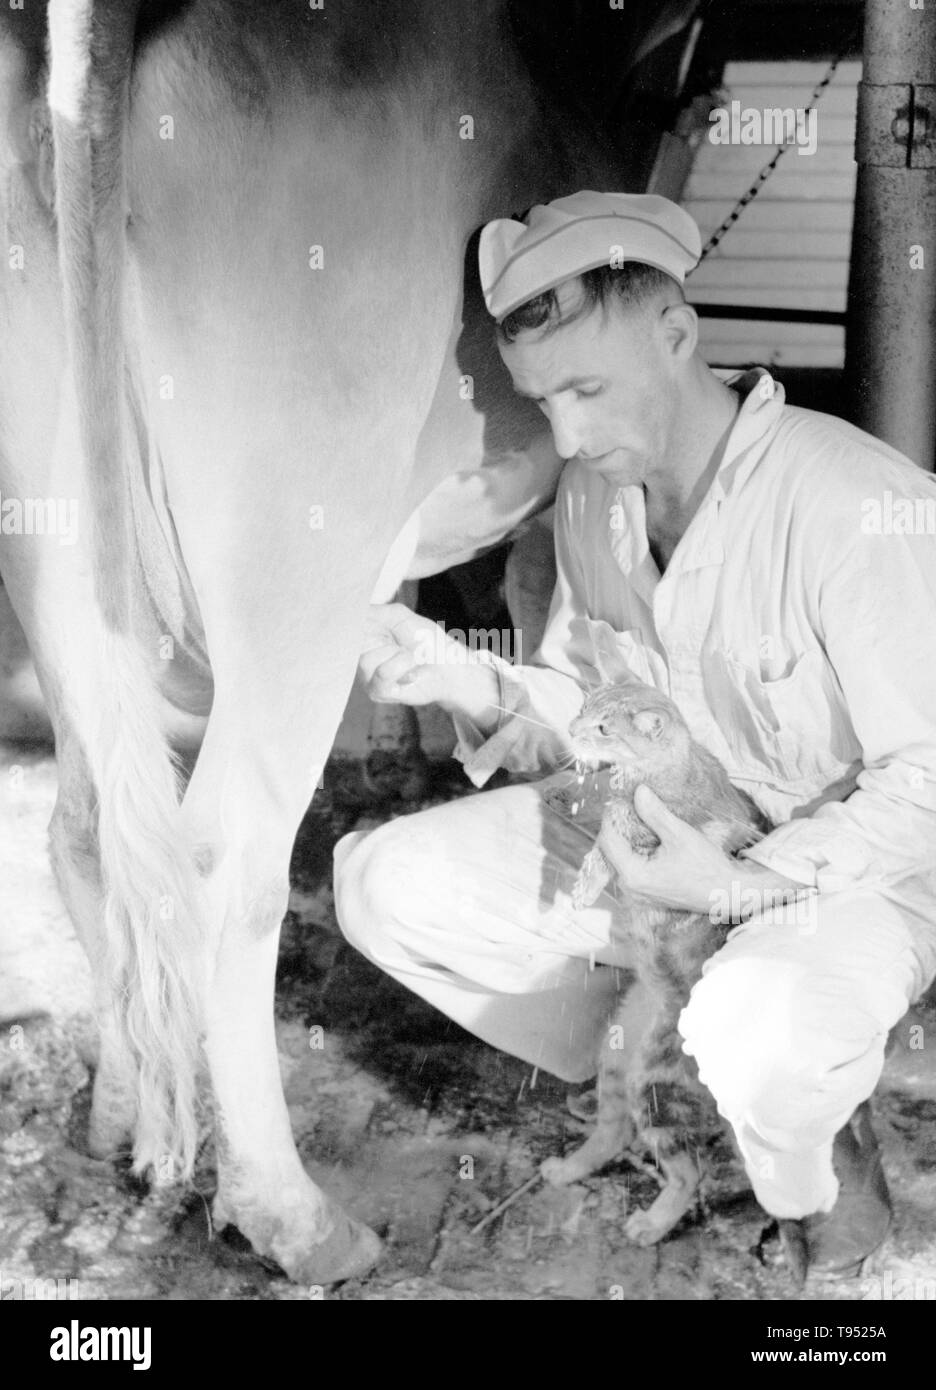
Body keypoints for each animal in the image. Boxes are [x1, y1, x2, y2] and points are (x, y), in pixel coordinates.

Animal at [0, 0, 617, 1278]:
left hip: (53, 542)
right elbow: (549, 593)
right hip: (297, 533)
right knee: (222, 862)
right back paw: (291, 1213)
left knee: (93, 832)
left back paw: (120, 1120)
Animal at [539, 667, 767, 1245]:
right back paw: (568, 1168)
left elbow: (614, 832)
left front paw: (586, 882)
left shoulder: (655, 830)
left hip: (655, 1088)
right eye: (583, 708)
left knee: (688, 1172)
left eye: (602, 726)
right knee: (612, 1136)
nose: (571, 729)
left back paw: (651, 1223)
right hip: (615, 1060)